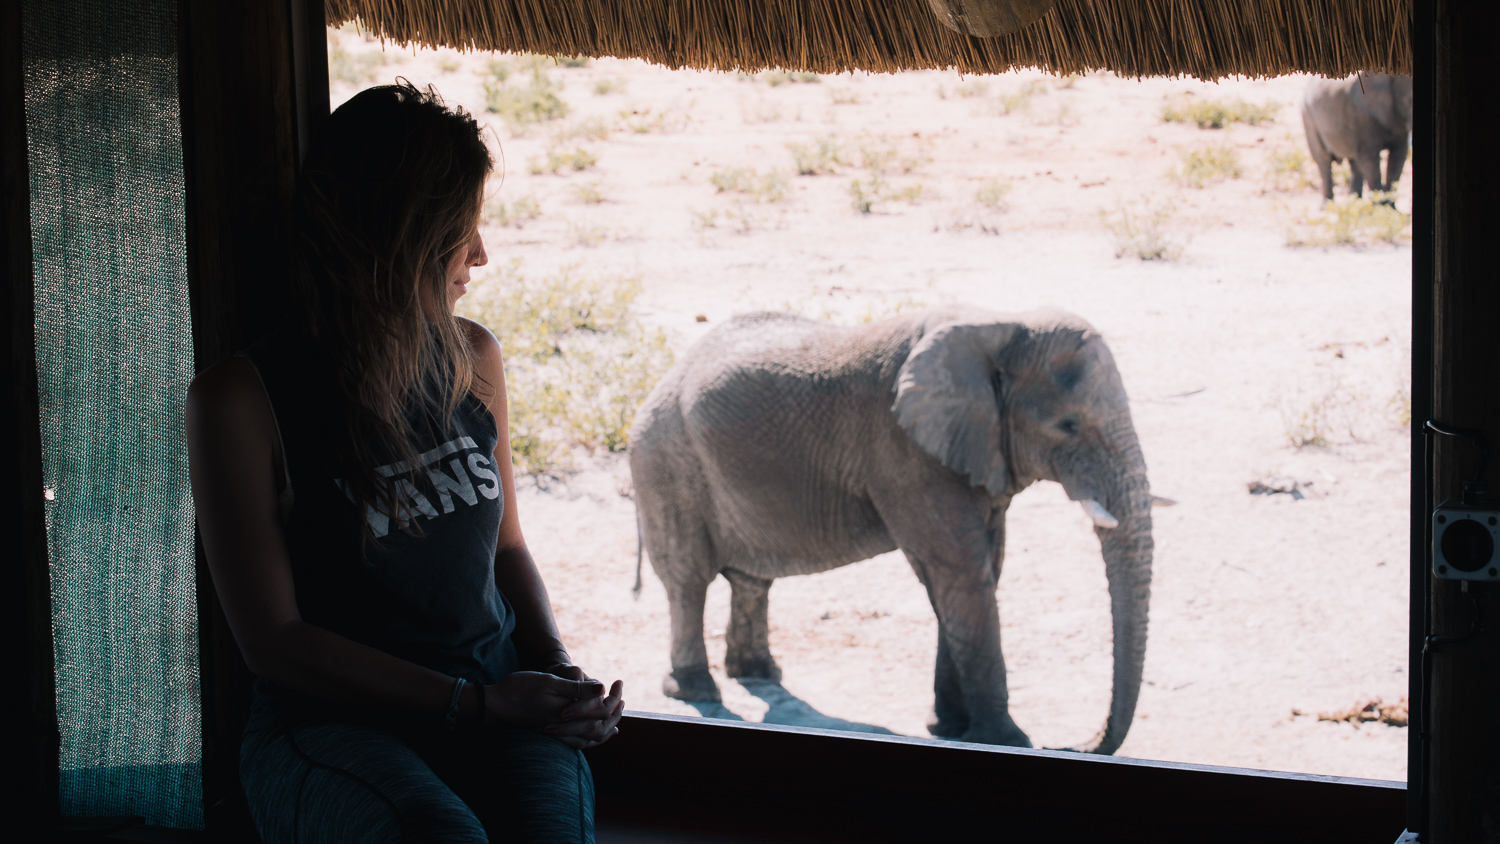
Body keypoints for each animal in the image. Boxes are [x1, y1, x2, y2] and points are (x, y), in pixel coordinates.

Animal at [627, 305, 1152, 752]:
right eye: (1067, 425)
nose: (1071, 746)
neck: (999, 325)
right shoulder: (903, 452)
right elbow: (961, 571)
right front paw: (1006, 741)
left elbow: (979, 570)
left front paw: (949, 729)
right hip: (666, 462)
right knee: (689, 581)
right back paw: (696, 689)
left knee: (752, 580)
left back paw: (760, 674)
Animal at [1296, 70, 1410, 199]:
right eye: (1408, 101)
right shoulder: (1362, 115)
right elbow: (1370, 159)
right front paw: (1381, 202)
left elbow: (1398, 156)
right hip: (1309, 117)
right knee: (1323, 160)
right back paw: (1329, 202)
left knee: (1354, 163)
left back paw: (1354, 200)